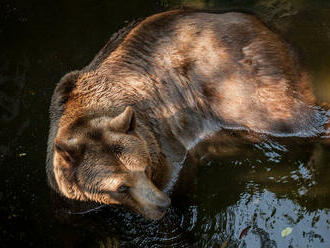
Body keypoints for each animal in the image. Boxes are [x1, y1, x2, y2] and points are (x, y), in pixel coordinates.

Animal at [45, 9, 328, 220]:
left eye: (144, 169)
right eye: (120, 187)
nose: (162, 204)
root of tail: (260, 24)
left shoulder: (166, 143)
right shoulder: (70, 196)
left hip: (238, 84)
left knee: (292, 118)